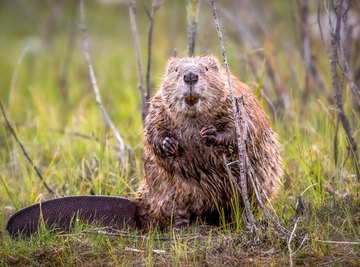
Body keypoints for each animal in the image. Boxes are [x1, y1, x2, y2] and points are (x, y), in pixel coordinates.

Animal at [134, 55, 282, 229]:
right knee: (175, 207)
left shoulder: (234, 103)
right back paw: (180, 226)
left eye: (206, 68)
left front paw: (210, 133)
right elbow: (152, 129)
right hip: (165, 190)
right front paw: (169, 144)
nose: (190, 76)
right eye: (176, 70)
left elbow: (239, 129)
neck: (193, 118)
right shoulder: (159, 105)